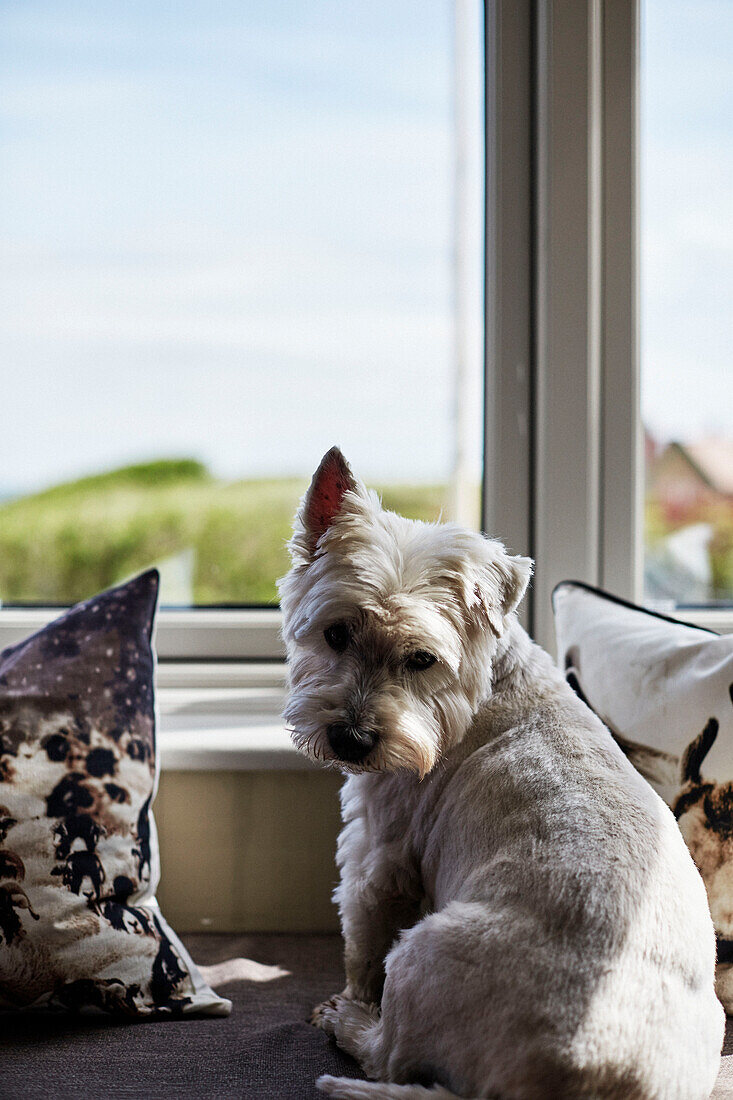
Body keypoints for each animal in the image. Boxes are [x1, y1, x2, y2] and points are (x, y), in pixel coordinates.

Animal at [277, 448, 721, 1100]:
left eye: (422, 658)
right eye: (336, 633)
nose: (351, 741)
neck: (475, 688)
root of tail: (580, 1076)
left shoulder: (377, 854)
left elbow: (361, 941)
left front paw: (348, 995)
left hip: (422, 952)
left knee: (388, 1057)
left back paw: (350, 1025)